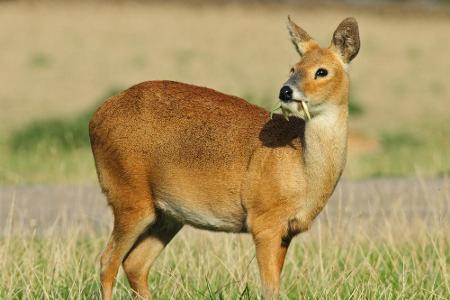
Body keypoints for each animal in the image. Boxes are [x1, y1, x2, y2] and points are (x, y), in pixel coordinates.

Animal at [89, 16, 360, 300]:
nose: (286, 91)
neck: (302, 168)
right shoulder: (264, 221)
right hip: (129, 197)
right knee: (108, 261)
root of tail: (96, 118)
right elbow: (270, 289)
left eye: (322, 71)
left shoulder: (287, 231)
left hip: (166, 214)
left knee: (135, 264)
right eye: (293, 67)